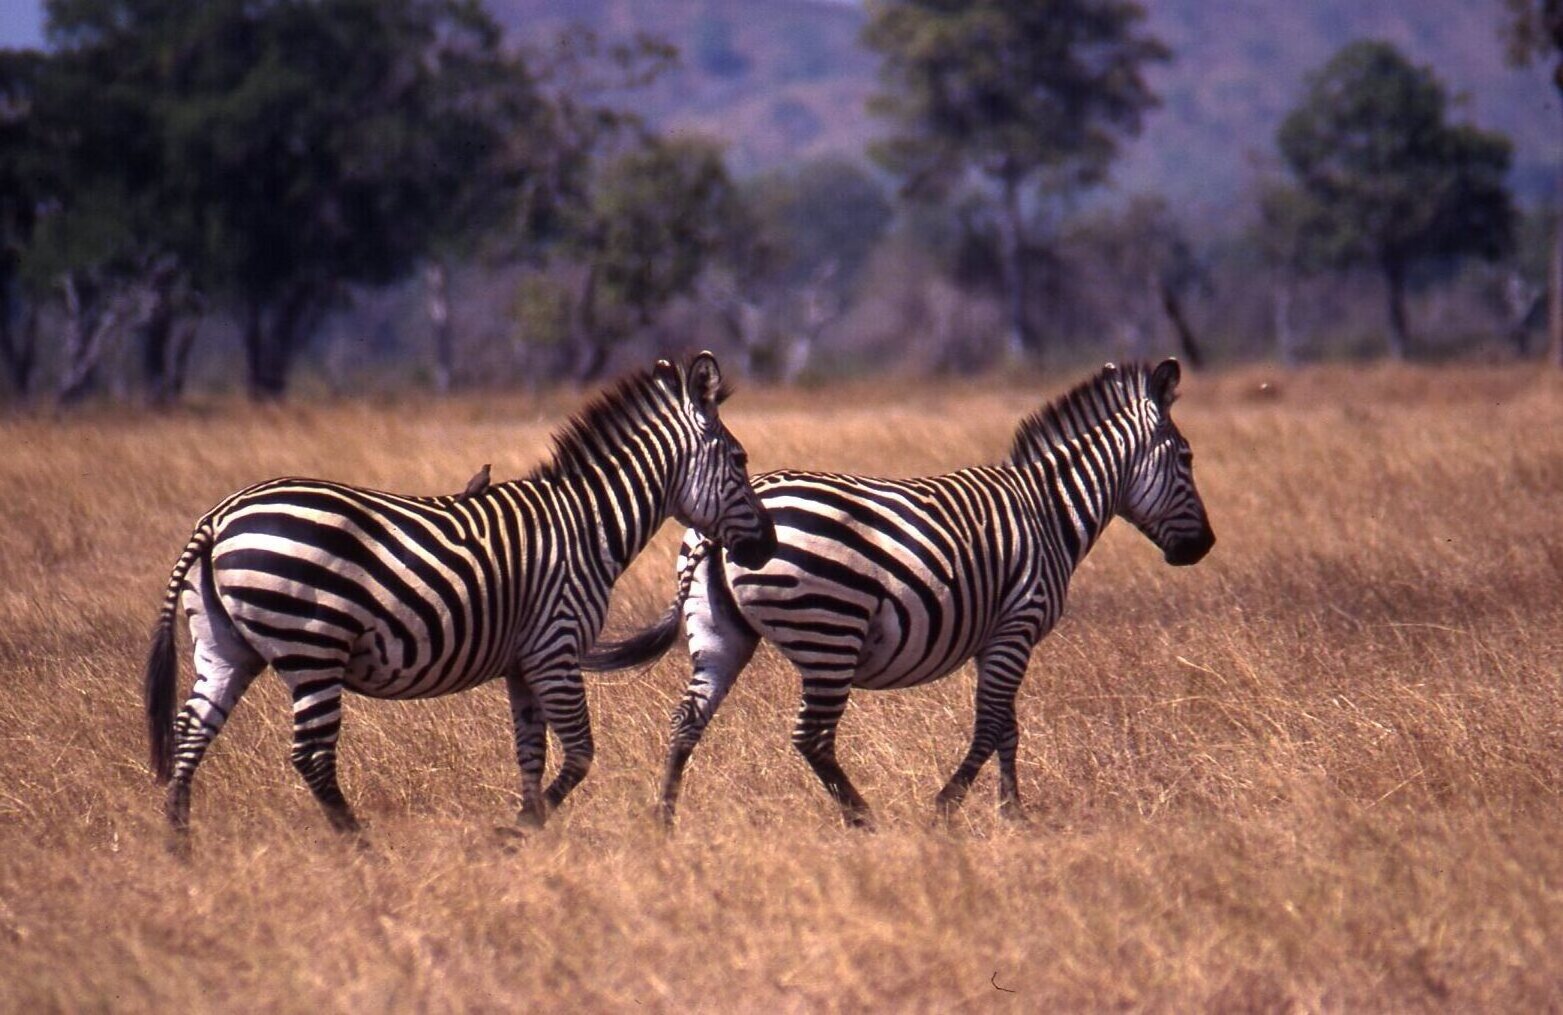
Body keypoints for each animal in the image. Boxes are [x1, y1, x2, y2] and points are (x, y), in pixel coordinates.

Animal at [143, 352, 776, 840]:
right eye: (740, 460)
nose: (768, 545)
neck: (587, 525)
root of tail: (220, 518)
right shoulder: (555, 647)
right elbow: (579, 754)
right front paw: (518, 831)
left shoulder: (523, 663)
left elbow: (531, 756)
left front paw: (528, 830)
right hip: (311, 647)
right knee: (312, 756)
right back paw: (360, 848)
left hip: (225, 647)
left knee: (190, 734)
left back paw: (181, 850)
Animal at [586, 359, 1214, 827]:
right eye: (1187, 459)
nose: (1203, 546)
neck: (1050, 511)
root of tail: (713, 534)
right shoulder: (1017, 625)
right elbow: (991, 725)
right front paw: (948, 808)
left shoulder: (999, 636)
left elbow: (1008, 727)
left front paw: (1013, 814)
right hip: (829, 628)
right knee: (812, 736)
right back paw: (864, 819)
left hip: (719, 631)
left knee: (687, 719)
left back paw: (665, 820)